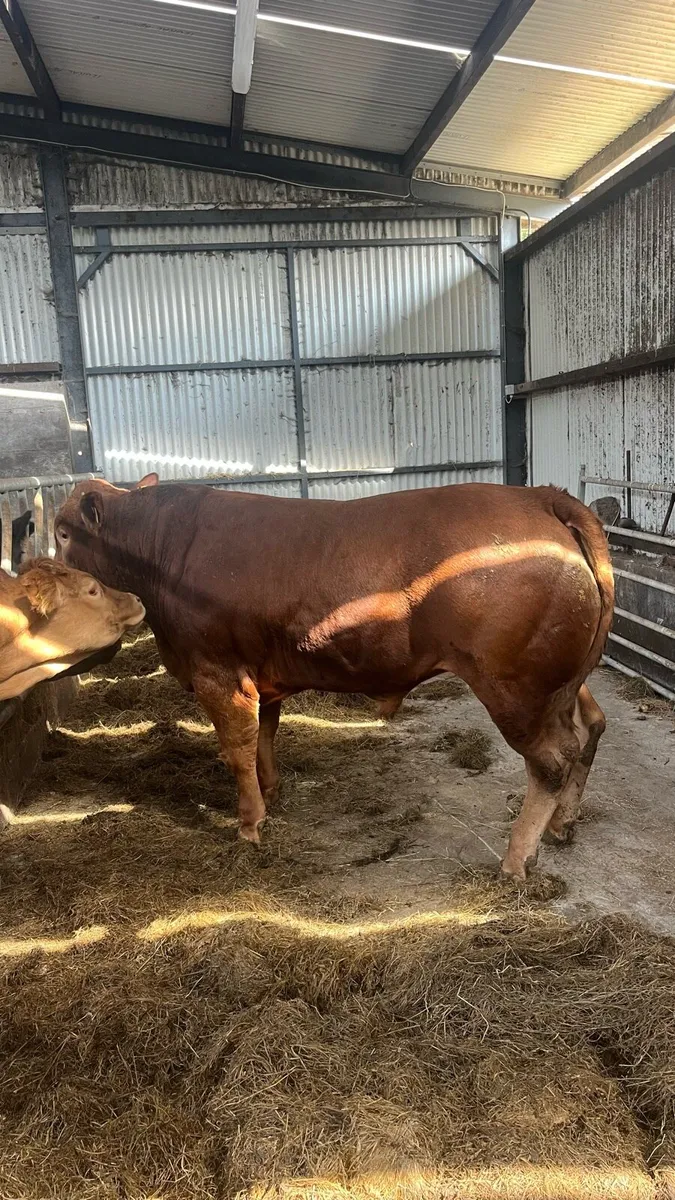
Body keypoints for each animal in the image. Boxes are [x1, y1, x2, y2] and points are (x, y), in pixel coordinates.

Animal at [54, 475, 614, 881]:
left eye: (62, 533)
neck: (163, 548)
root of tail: (539, 496)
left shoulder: (218, 673)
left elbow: (238, 747)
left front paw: (249, 825)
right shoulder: (260, 674)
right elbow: (266, 736)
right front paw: (272, 794)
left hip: (515, 688)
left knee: (552, 760)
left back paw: (517, 860)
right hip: (563, 682)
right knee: (589, 728)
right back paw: (562, 826)